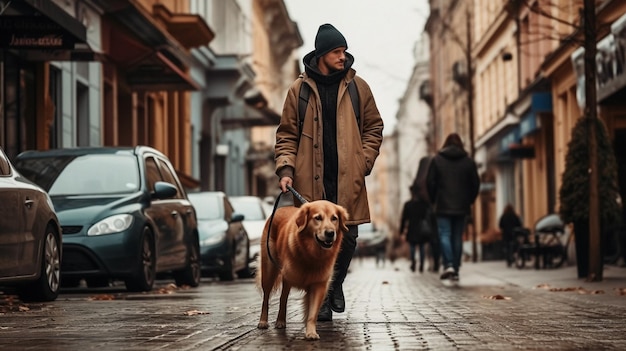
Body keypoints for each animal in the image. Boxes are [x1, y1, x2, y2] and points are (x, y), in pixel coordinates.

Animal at [256, 201, 348, 340]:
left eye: (334, 218)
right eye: (318, 218)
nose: (330, 233)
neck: (311, 253)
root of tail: (280, 208)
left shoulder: (319, 284)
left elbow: (312, 313)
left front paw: (311, 332)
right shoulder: (288, 274)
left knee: (283, 298)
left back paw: (281, 320)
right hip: (269, 271)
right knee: (266, 298)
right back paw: (263, 321)